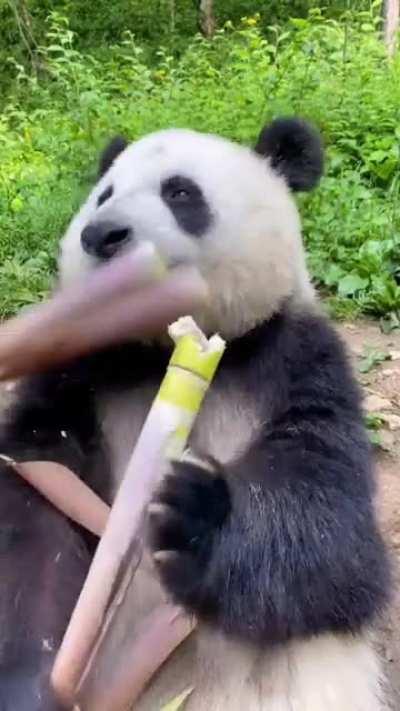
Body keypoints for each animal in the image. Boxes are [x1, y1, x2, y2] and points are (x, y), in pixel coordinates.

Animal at [0, 118, 391, 711]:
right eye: (103, 195)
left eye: (180, 192)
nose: (101, 235)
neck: (161, 350)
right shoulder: (77, 372)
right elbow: (34, 498)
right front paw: (35, 677)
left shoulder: (299, 363)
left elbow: (337, 543)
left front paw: (196, 510)